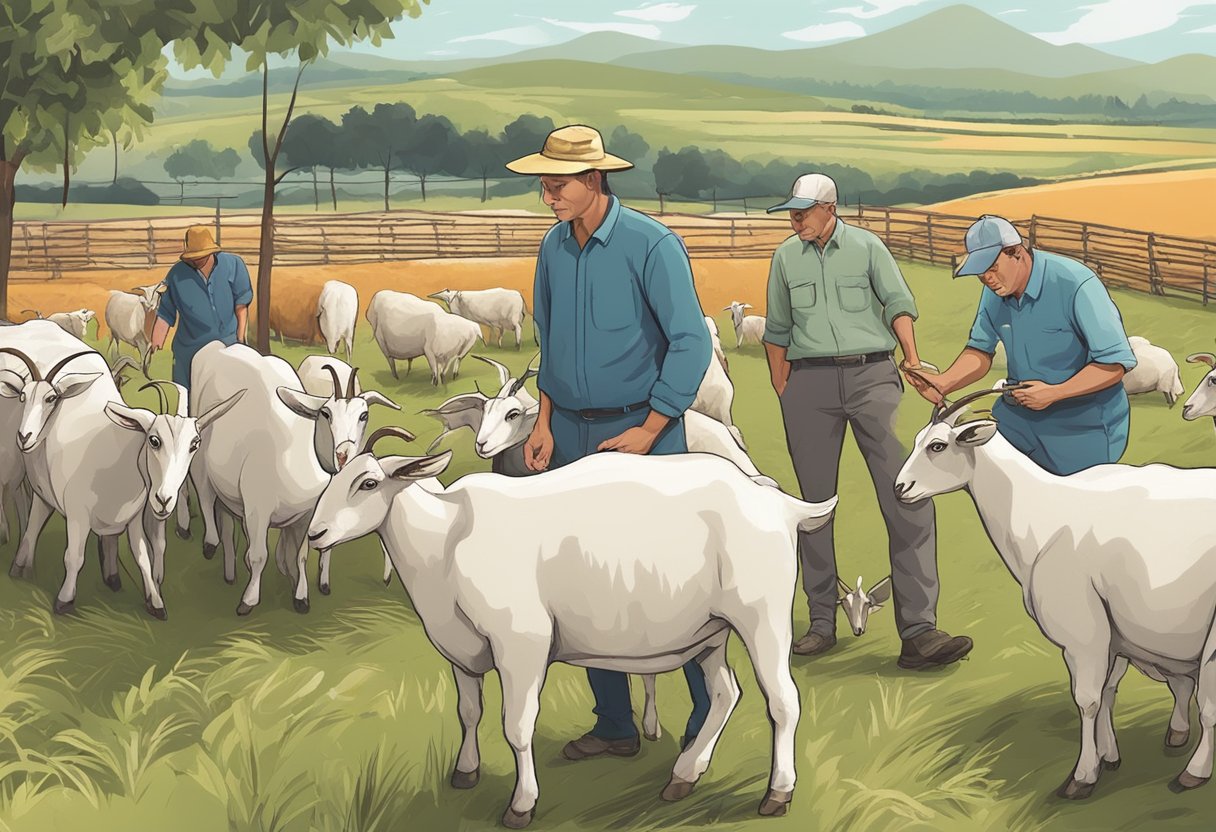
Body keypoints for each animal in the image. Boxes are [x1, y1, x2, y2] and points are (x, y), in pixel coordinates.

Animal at [186, 340, 330, 617]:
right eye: (326, 414)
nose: (343, 455)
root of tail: (222, 347)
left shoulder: (306, 515)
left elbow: (301, 555)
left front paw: (301, 597)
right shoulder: (258, 510)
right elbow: (259, 556)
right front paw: (249, 600)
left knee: (226, 517)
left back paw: (230, 570)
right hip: (200, 449)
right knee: (205, 494)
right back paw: (210, 543)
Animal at [306, 433, 836, 827]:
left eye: (368, 482)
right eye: (335, 477)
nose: (315, 534)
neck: (446, 540)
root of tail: (779, 503)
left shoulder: (521, 644)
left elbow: (517, 726)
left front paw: (521, 805)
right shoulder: (460, 650)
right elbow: (469, 713)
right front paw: (465, 772)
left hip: (762, 618)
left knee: (783, 701)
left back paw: (777, 794)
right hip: (711, 631)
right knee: (726, 693)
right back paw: (683, 777)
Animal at [894, 384, 1216, 797]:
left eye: (937, 446)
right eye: (918, 440)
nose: (899, 489)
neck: (1041, 512)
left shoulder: (1083, 633)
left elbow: (1088, 700)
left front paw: (1082, 777)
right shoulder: (1110, 632)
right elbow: (1107, 693)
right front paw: (1109, 756)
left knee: (1207, 706)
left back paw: (1195, 771)